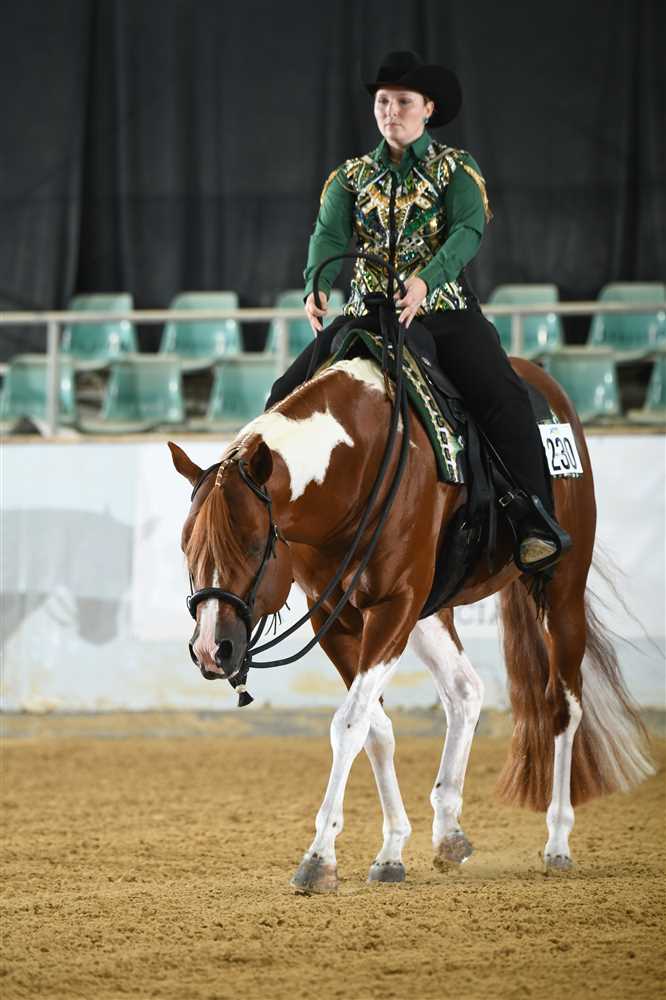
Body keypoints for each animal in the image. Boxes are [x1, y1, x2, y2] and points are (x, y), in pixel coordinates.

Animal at [169, 351, 654, 893]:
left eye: (253, 545)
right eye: (186, 546)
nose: (212, 650)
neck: (359, 468)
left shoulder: (393, 606)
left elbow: (349, 723)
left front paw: (319, 858)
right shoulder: (334, 617)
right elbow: (373, 727)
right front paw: (391, 851)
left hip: (562, 591)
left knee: (563, 706)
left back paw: (558, 842)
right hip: (432, 612)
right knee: (465, 692)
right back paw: (449, 832)